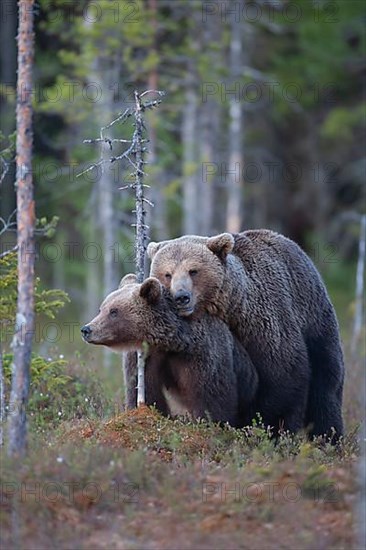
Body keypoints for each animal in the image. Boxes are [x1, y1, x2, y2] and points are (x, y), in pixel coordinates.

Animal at [81, 274, 258, 426]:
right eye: (101, 309)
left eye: (114, 311)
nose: (86, 329)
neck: (173, 343)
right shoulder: (145, 358)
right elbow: (144, 389)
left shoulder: (202, 355)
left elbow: (212, 396)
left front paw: (212, 423)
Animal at [147, 231, 344, 442]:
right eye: (167, 274)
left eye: (193, 270)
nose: (181, 297)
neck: (234, 309)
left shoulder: (265, 324)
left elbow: (285, 376)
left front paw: (268, 427)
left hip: (317, 326)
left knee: (325, 390)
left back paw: (328, 438)